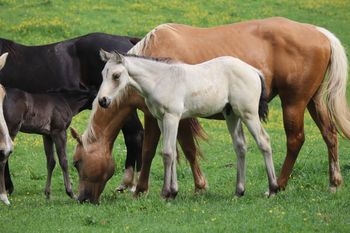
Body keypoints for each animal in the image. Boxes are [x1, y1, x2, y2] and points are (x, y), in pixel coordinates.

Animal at [97, 50, 278, 198]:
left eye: (116, 75)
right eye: (103, 73)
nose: (103, 101)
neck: (160, 80)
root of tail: (254, 71)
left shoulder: (172, 117)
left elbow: (168, 153)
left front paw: (165, 193)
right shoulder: (161, 119)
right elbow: (172, 153)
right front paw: (173, 192)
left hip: (248, 114)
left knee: (264, 141)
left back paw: (273, 189)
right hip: (232, 115)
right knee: (240, 146)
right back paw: (239, 191)